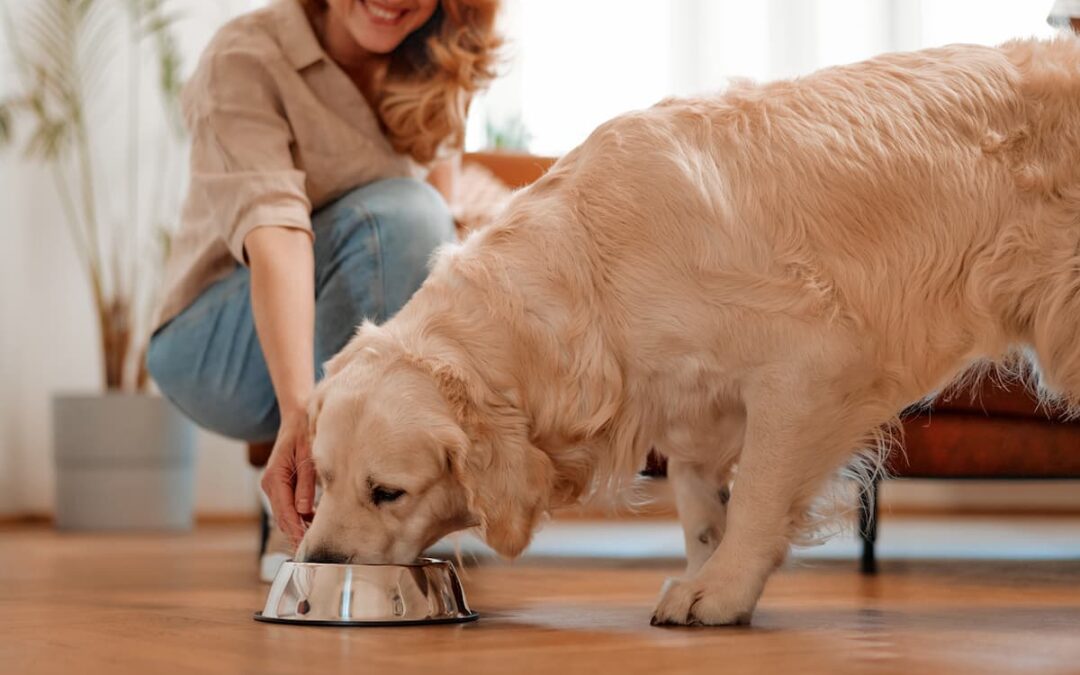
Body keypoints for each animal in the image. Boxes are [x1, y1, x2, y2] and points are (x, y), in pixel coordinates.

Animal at [295, 38, 1080, 626]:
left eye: (388, 492)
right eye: (322, 478)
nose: (318, 565)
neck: (593, 275)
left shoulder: (809, 364)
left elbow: (759, 490)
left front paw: (721, 590)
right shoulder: (693, 403)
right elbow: (702, 502)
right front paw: (708, 567)